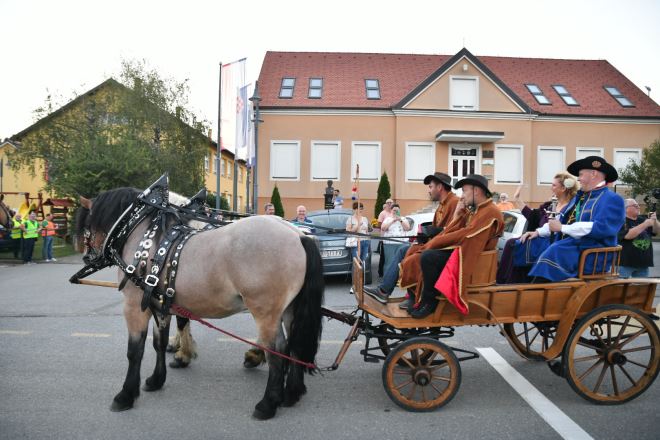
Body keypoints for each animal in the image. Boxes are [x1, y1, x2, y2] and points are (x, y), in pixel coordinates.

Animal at [75, 186, 325, 420]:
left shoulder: (134, 306)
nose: (87, 256)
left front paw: (125, 395)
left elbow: (134, 351)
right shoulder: (160, 305)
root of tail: (298, 235)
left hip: (266, 313)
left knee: (277, 351)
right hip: (290, 309)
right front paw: (157, 379)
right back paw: (291, 393)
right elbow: (159, 343)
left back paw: (268, 404)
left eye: (86, 224)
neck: (147, 237)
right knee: (295, 345)